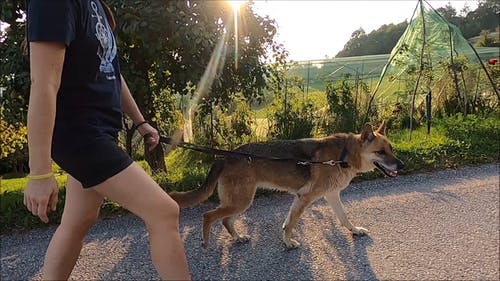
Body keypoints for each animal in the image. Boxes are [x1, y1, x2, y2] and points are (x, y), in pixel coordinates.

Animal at [170, 121, 404, 247]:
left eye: (391, 149)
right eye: (380, 152)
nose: (401, 165)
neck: (344, 155)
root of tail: (226, 156)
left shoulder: (331, 196)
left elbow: (344, 218)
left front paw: (354, 230)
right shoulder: (305, 198)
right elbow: (291, 224)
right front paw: (288, 243)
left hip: (241, 201)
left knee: (226, 221)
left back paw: (238, 238)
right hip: (241, 201)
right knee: (208, 215)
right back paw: (206, 241)